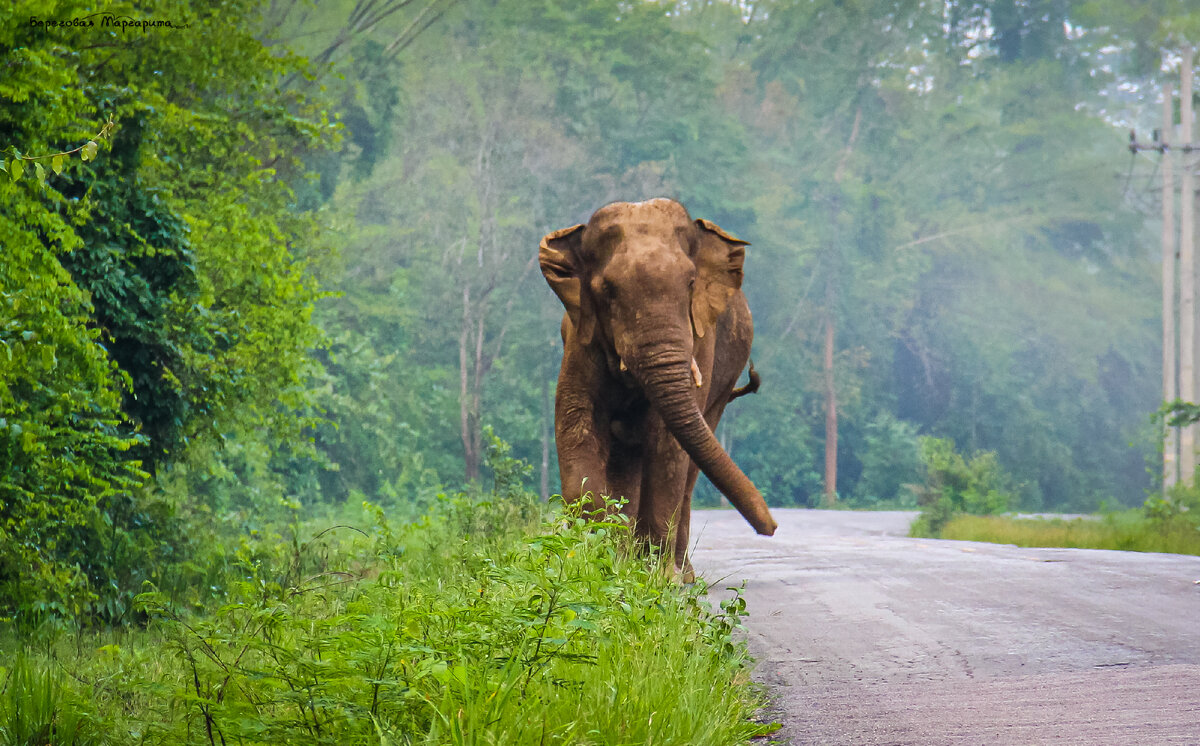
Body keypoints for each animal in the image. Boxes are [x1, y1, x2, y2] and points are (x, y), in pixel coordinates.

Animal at [542, 197, 777, 578]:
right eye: (607, 291)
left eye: (691, 283)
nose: (770, 527)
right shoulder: (580, 338)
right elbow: (577, 420)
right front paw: (598, 562)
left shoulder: (701, 338)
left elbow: (667, 442)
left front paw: (659, 577)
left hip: (724, 384)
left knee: (690, 466)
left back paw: (682, 574)